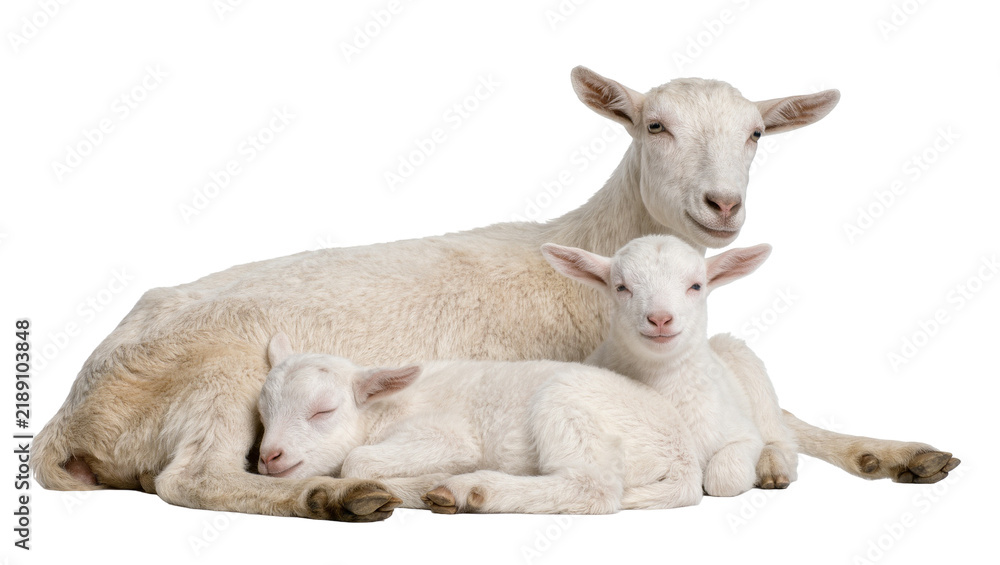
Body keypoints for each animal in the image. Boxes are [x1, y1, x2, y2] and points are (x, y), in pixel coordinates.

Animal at [258, 332, 704, 514]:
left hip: (568, 404)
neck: (380, 411)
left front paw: (422, 481)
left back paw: (468, 490)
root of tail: (684, 457)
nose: (268, 457)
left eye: (323, 412)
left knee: (592, 487)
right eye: (262, 414)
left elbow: (356, 461)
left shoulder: (443, 434)